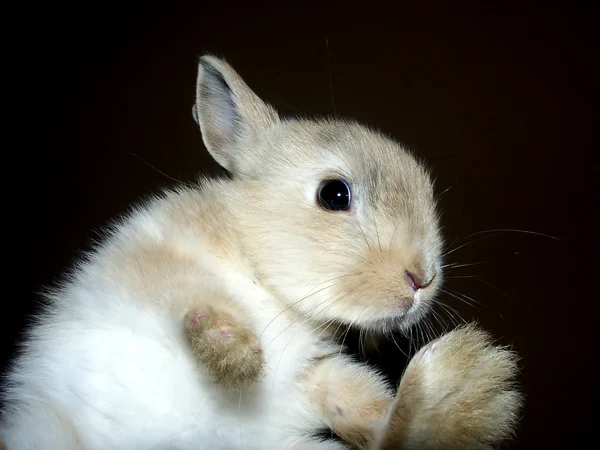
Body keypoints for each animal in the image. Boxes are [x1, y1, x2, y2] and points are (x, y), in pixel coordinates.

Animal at [1, 54, 520, 448]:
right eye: (334, 194)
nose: (422, 277)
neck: (267, 284)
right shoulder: (154, 257)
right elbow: (194, 297)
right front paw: (237, 355)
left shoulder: (313, 375)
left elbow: (360, 403)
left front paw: (465, 394)